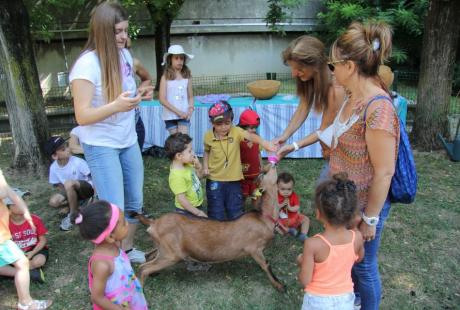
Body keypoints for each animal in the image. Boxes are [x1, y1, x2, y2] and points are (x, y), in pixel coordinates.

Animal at [134, 166, 288, 292]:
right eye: (265, 174)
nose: (272, 164)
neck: (264, 218)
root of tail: (153, 223)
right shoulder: (254, 249)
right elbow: (266, 265)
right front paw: (280, 286)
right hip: (171, 255)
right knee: (143, 268)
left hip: (163, 248)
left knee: (148, 257)